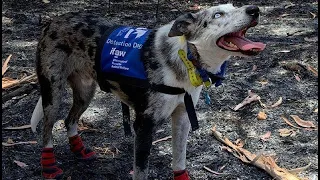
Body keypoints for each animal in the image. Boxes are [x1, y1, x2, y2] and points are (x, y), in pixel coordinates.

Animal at [30, 3, 264, 180]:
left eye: (234, 6)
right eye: (218, 14)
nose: (254, 9)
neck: (185, 57)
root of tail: (54, 21)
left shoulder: (182, 118)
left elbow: (179, 160)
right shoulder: (144, 126)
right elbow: (141, 171)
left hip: (86, 92)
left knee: (69, 120)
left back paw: (79, 149)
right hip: (52, 94)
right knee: (47, 129)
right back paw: (49, 166)